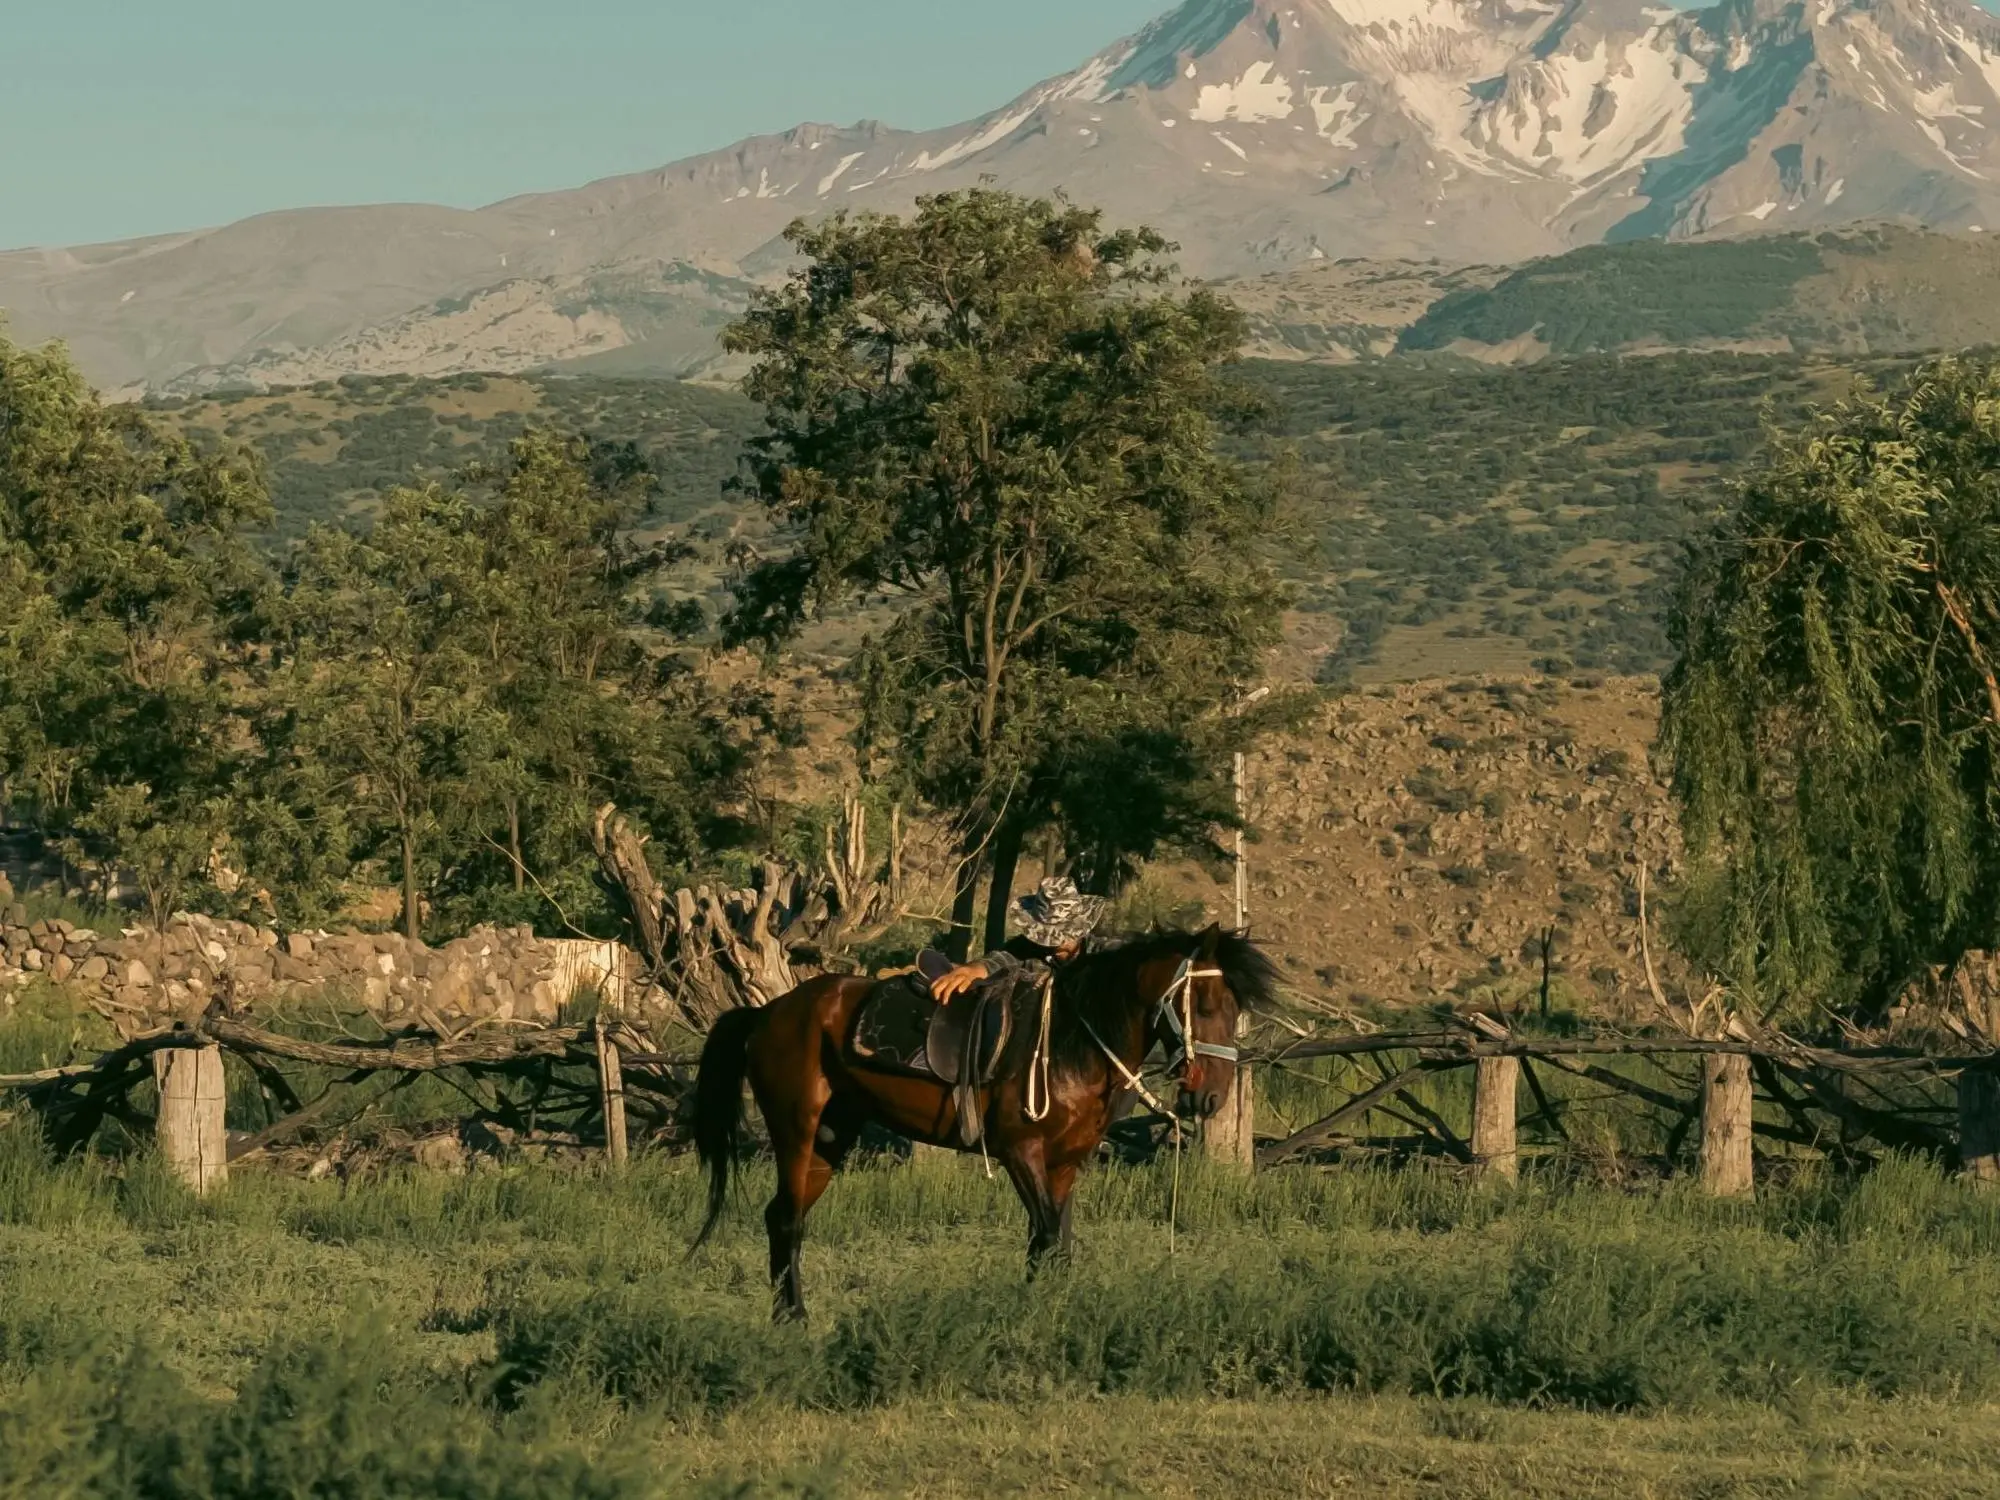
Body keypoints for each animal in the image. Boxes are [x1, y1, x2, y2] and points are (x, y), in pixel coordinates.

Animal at [696, 928, 1272, 1328]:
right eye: (1204, 1005)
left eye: (1237, 1008)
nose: (1211, 1096)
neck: (1071, 1040)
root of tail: (767, 1012)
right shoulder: (1021, 1153)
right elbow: (1047, 1237)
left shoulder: (1065, 1163)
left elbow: (1052, 1240)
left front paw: (1046, 1308)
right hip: (796, 1131)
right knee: (788, 1221)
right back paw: (793, 1318)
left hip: (830, 1141)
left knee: (781, 1217)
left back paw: (786, 1313)